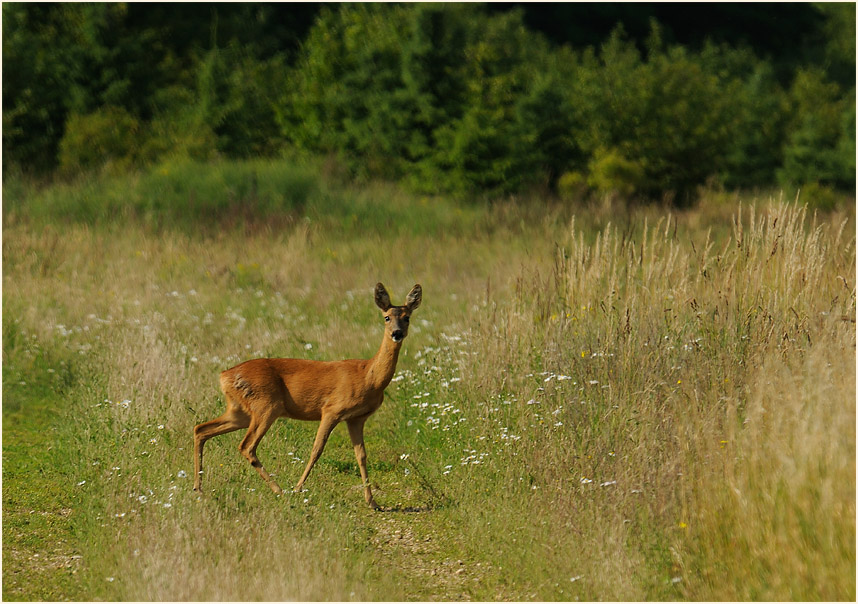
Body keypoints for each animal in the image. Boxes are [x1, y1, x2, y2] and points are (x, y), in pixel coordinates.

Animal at [193, 280, 422, 508]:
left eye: (407, 317)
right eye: (386, 317)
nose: (397, 333)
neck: (369, 376)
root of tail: (224, 375)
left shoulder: (356, 418)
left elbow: (361, 455)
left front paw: (373, 502)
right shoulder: (331, 410)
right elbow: (316, 449)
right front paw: (297, 488)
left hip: (240, 411)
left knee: (201, 429)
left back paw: (199, 488)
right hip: (266, 406)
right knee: (246, 446)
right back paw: (279, 490)